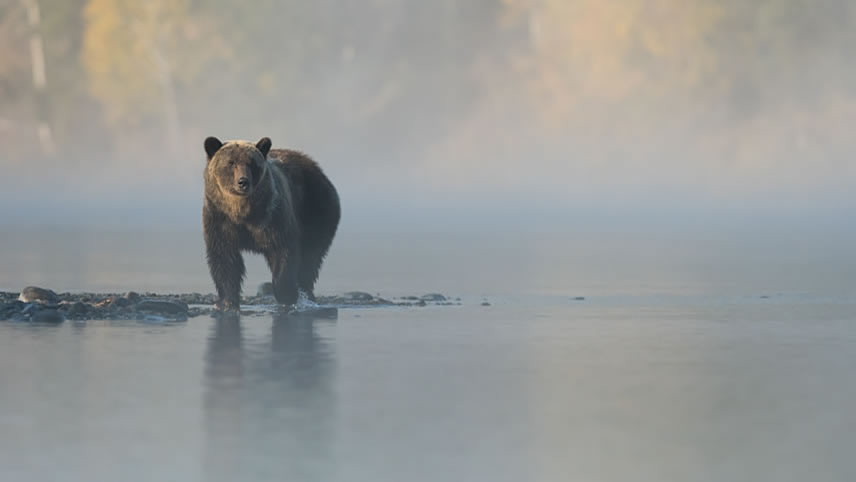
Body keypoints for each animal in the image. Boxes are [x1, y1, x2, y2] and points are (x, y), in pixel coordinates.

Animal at [202, 136, 340, 311]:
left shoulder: (272, 217)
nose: (243, 181)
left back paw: (306, 293)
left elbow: (282, 250)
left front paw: (287, 295)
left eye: (252, 163)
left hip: (316, 208)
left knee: (311, 256)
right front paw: (226, 302)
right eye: (231, 162)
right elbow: (225, 258)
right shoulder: (220, 218)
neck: (243, 213)